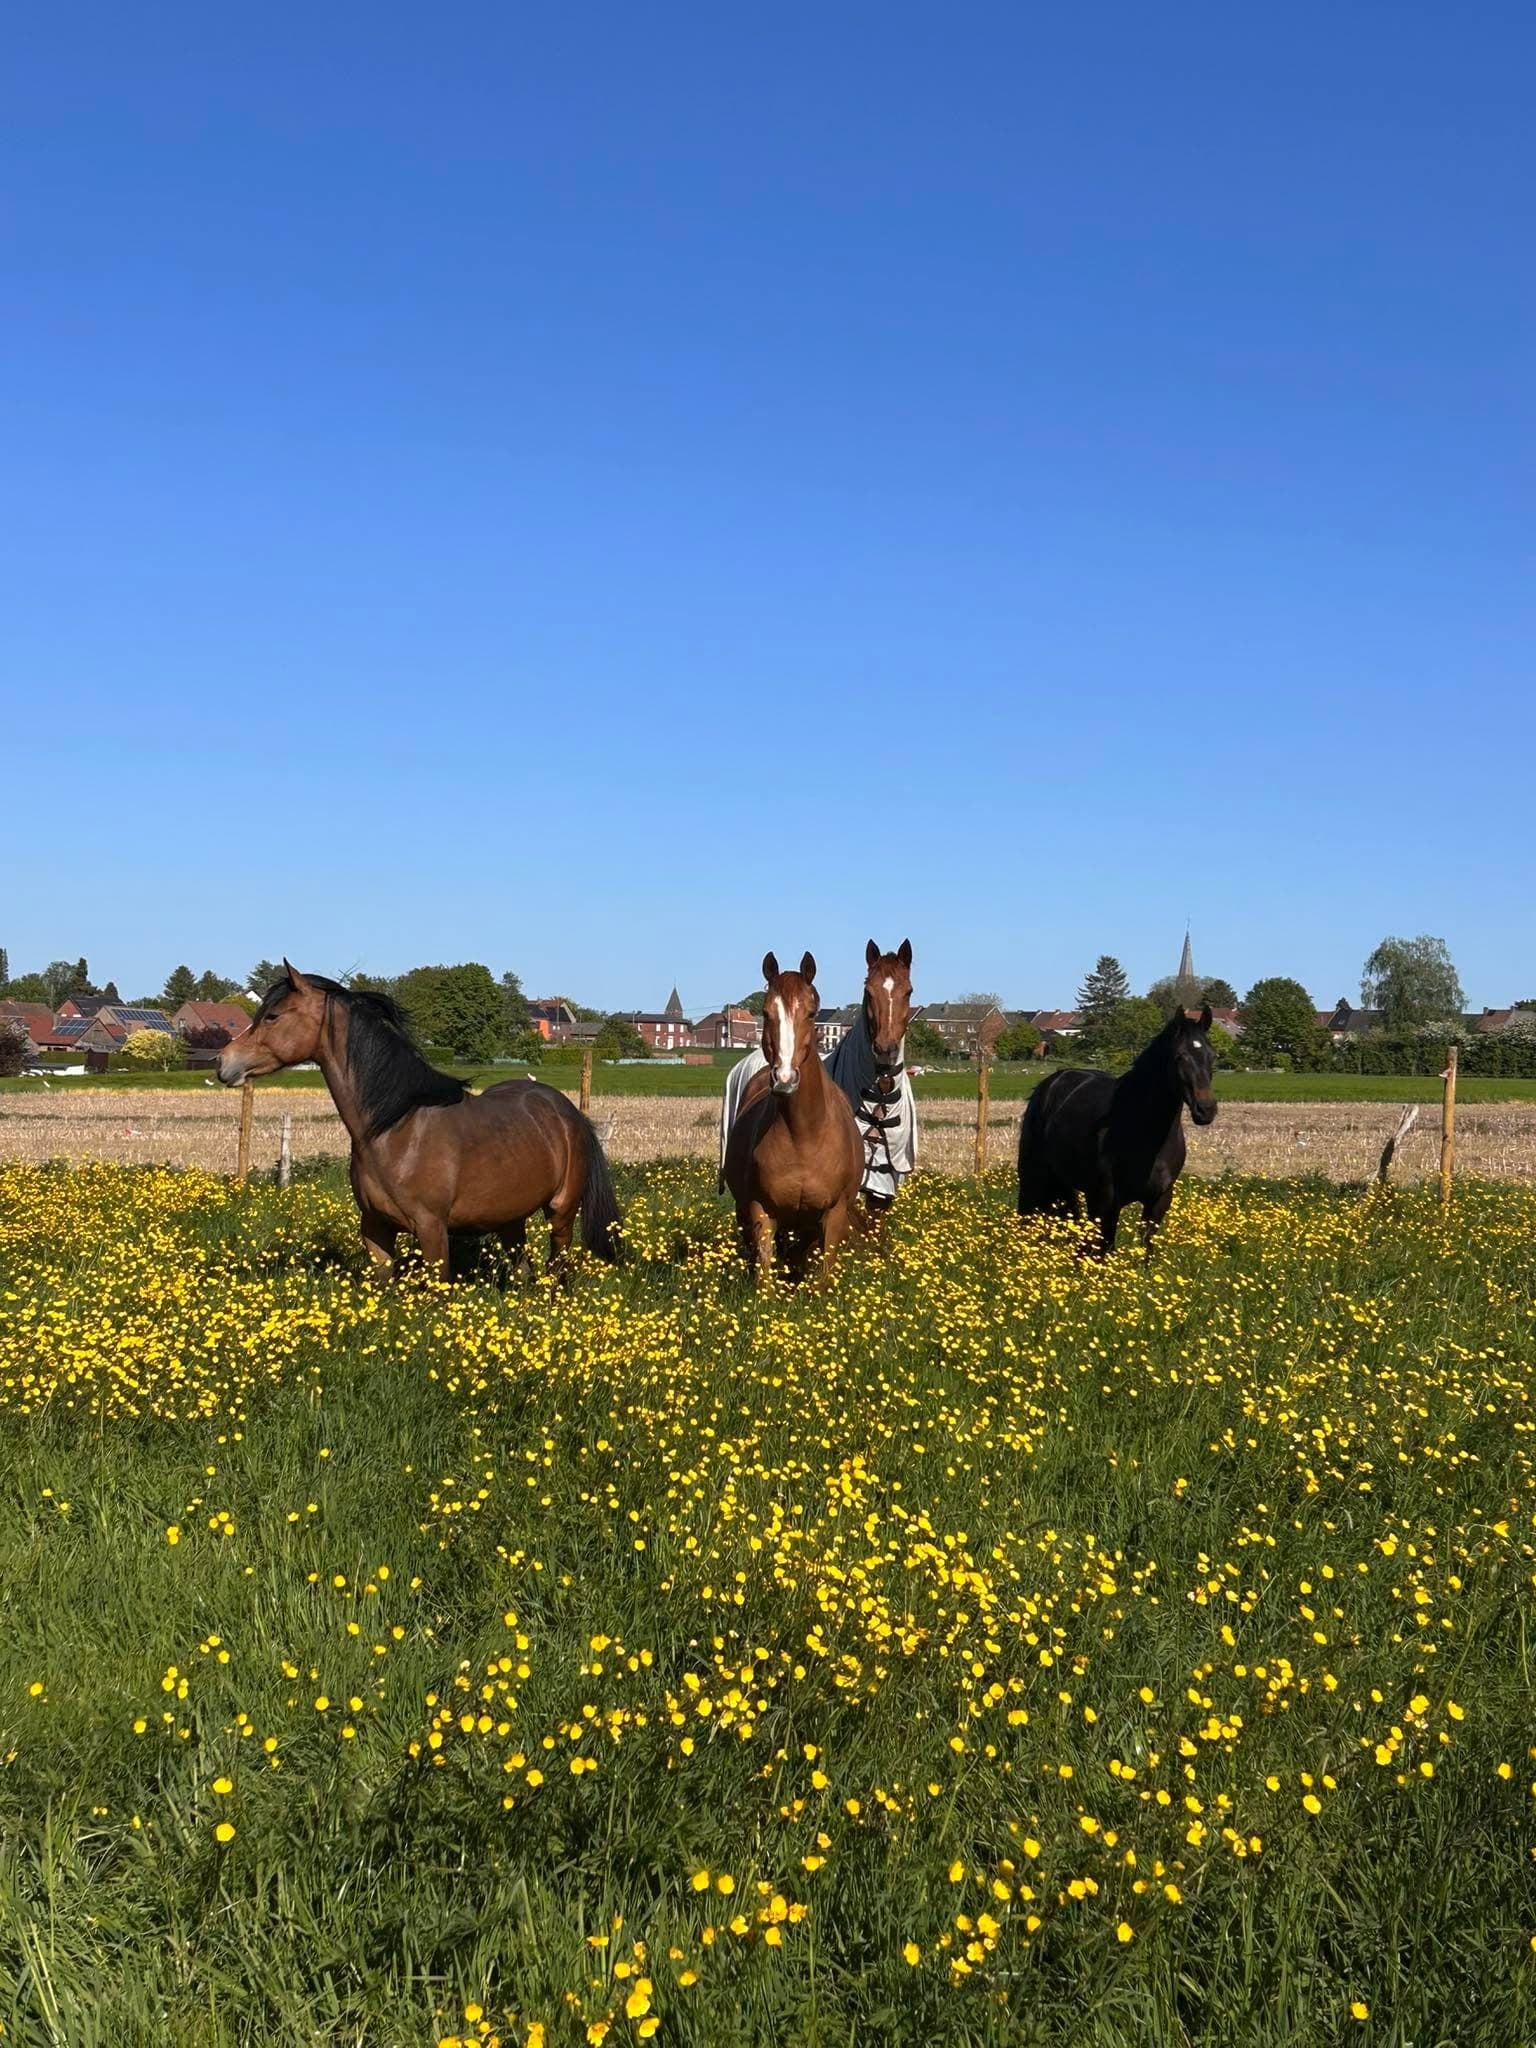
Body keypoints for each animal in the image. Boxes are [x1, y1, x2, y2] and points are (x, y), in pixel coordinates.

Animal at [217, 963, 623, 1281]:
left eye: (273, 1016)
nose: (223, 1062)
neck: (395, 1129)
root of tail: (567, 1111)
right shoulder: (375, 1229)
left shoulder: (431, 1230)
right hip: (511, 1218)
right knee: (523, 1270)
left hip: (561, 1213)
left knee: (558, 1271)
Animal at [721, 951, 864, 1282]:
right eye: (765, 1012)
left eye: (812, 1014)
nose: (785, 1079)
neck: (803, 1134)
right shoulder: (761, 1210)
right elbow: (764, 1275)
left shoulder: (834, 1215)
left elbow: (822, 1277)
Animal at [1016, 1004, 1217, 1256]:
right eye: (1180, 1056)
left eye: (1212, 1056)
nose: (1206, 1110)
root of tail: (1053, 1082)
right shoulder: (1106, 1204)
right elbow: (1105, 1251)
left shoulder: (1158, 1202)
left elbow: (1145, 1250)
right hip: (1034, 1176)